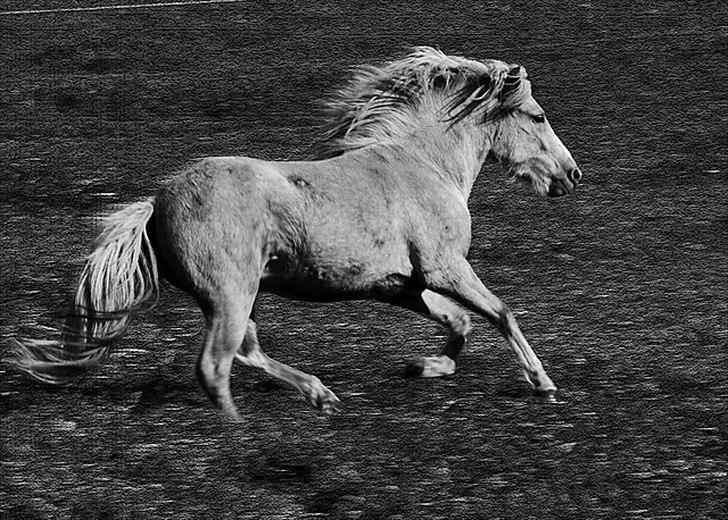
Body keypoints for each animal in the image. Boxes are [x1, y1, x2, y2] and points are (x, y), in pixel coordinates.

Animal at [9, 47, 580, 422]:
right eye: (537, 116)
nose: (571, 175)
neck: (423, 165)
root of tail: (156, 204)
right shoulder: (446, 267)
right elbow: (501, 313)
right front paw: (543, 384)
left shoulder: (401, 284)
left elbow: (459, 322)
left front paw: (426, 366)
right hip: (232, 294)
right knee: (216, 365)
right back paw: (243, 432)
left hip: (237, 297)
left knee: (245, 351)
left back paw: (320, 395)